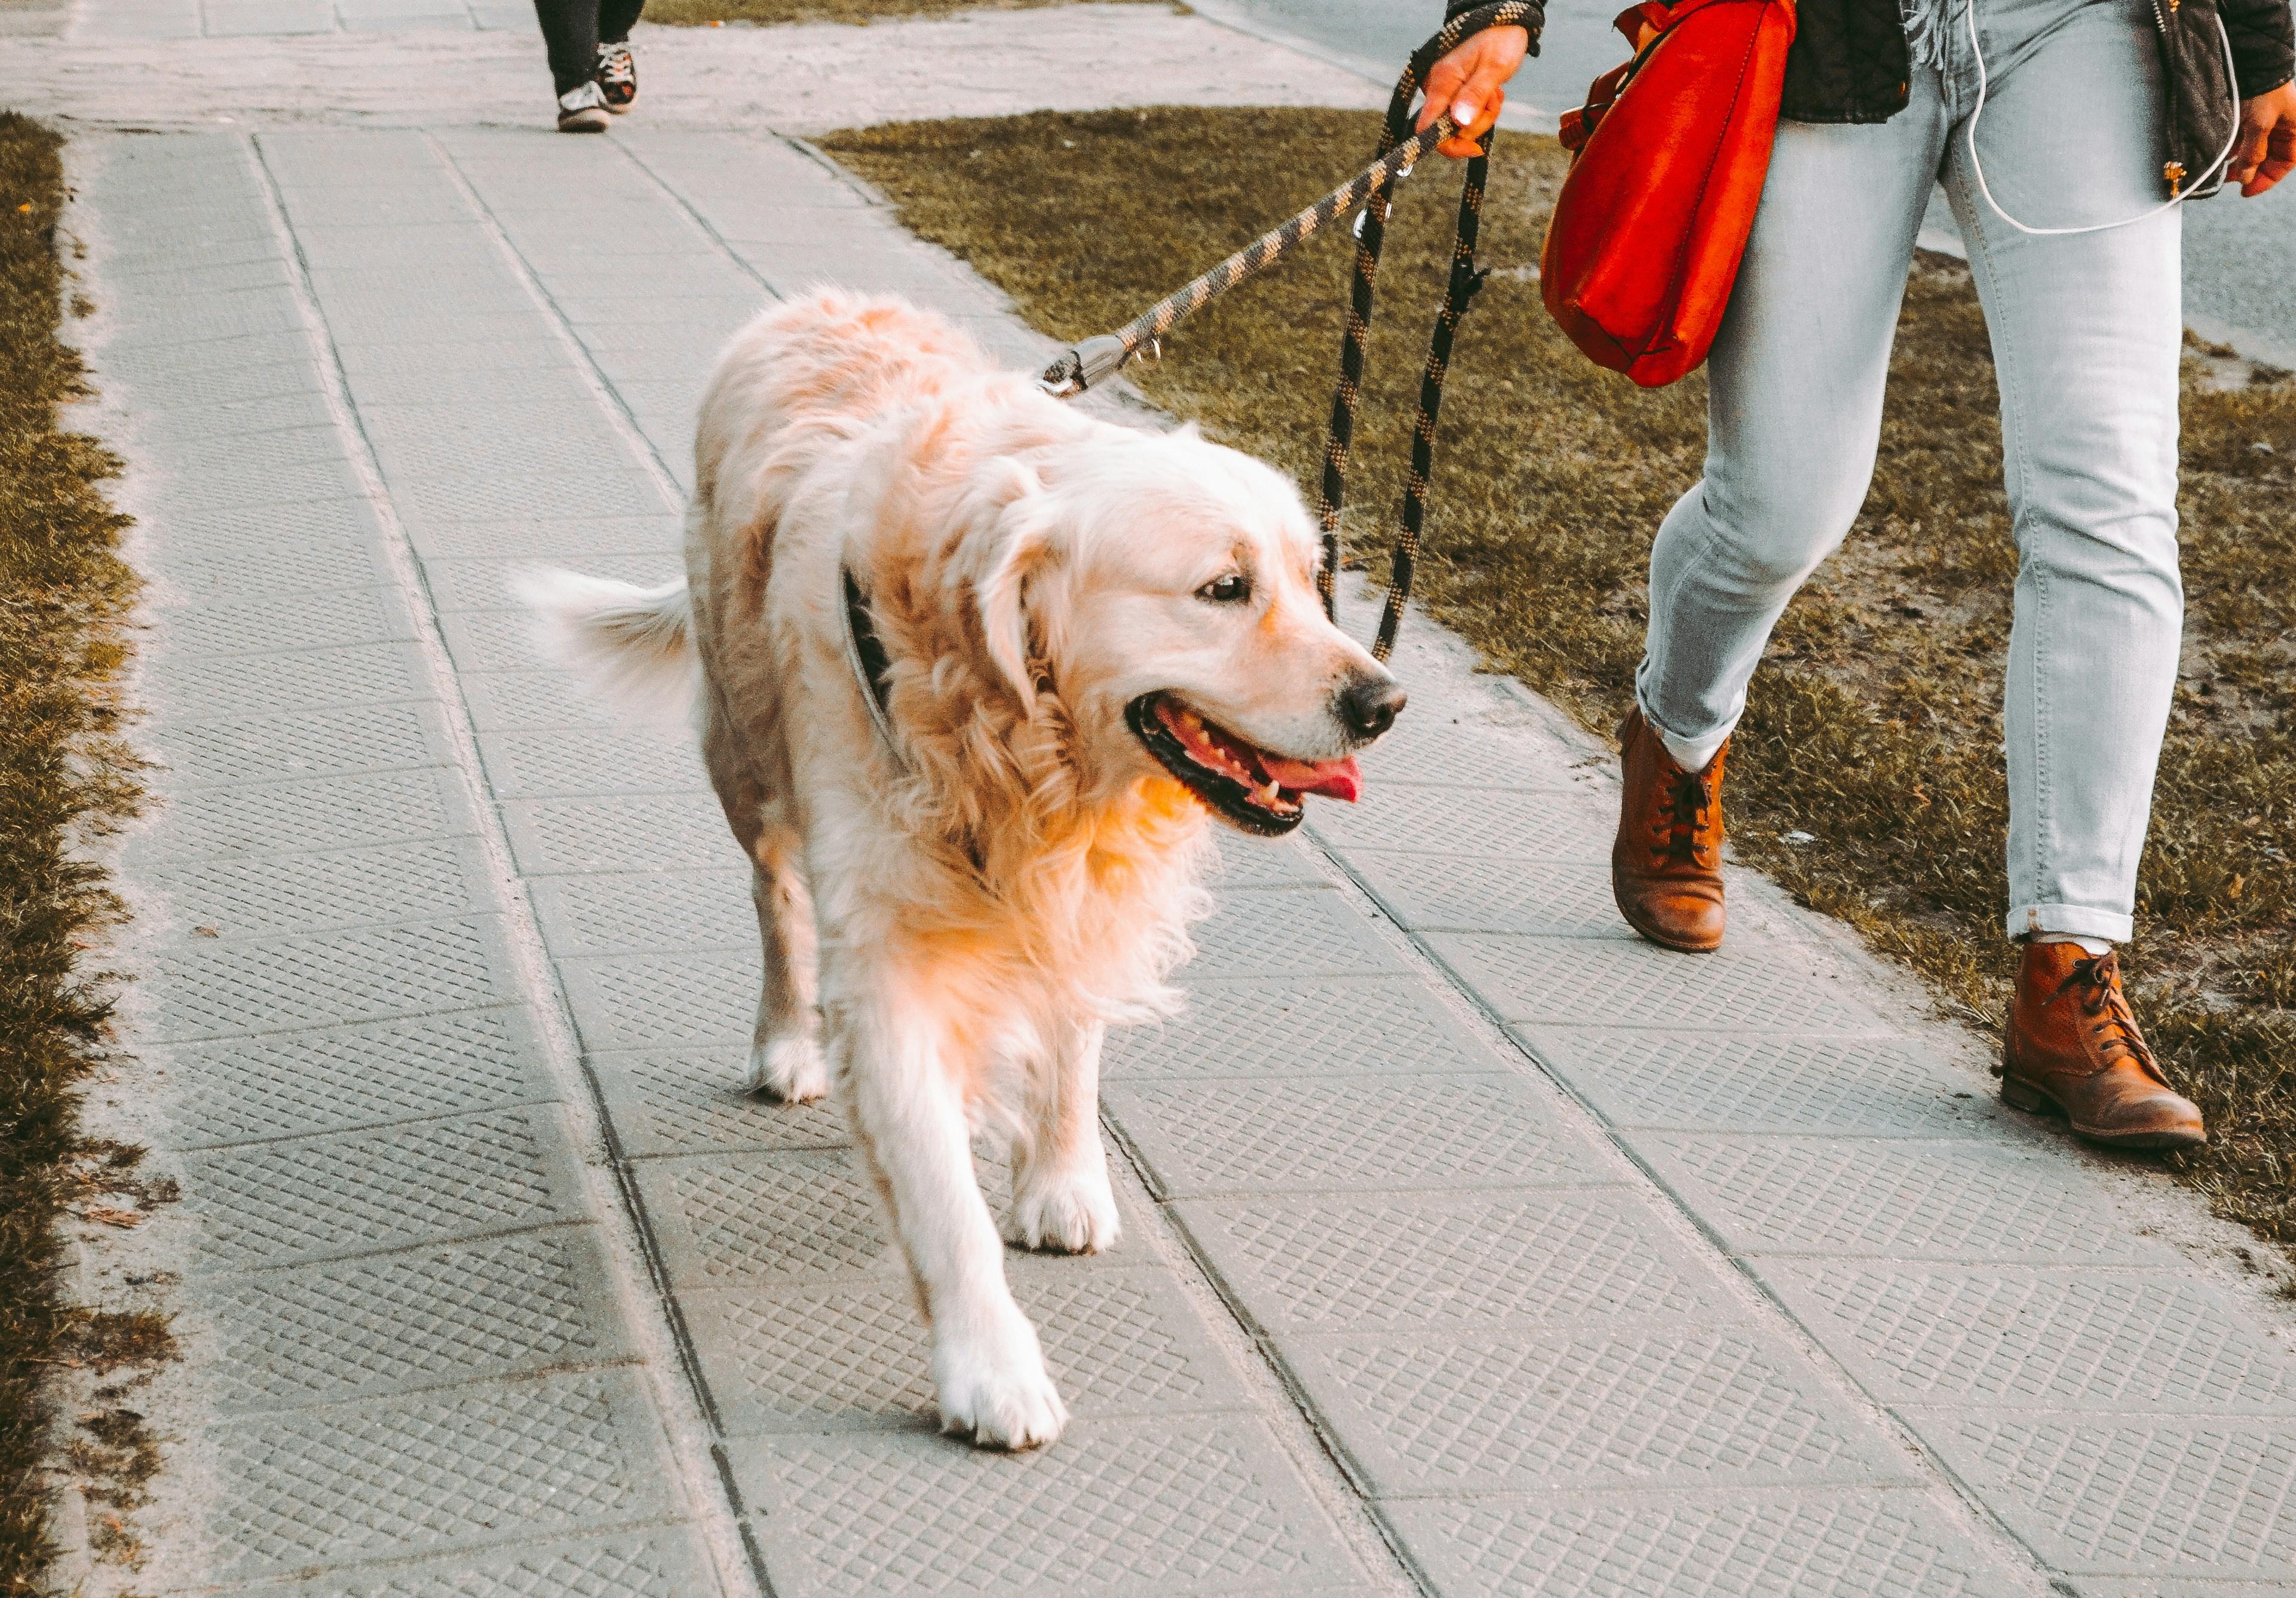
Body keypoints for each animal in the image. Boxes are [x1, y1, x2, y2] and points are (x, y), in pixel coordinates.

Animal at [528, 287, 1405, 1451]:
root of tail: (813, 300)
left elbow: (1072, 1038)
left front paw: (1061, 1178)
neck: (1022, 746)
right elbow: (943, 1199)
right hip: (745, 749)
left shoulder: (1081, 891)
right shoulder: (888, 959)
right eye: (1223, 588)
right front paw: (990, 1368)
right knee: (776, 895)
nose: (1384, 702)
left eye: (1313, 582)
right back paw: (787, 1040)